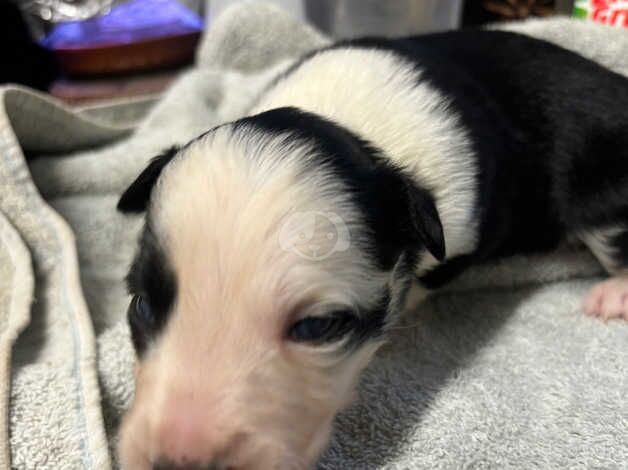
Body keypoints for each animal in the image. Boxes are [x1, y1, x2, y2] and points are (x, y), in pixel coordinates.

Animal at [115, 30, 628, 470]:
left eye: (317, 327)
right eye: (142, 304)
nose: (179, 463)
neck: (353, 127)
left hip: (598, 180)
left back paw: (614, 294)